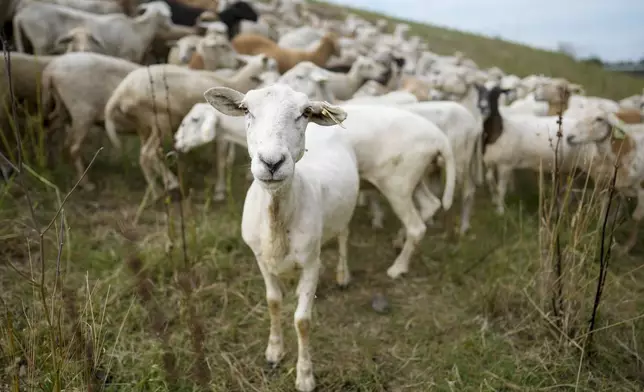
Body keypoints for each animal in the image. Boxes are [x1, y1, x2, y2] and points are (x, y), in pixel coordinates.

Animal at [204, 82, 360, 392]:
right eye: (245, 110)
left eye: (305, 112)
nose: (272, 162)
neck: (276, 218)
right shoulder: (260, 259)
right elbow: (273, 301)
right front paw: (274, 351)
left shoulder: (311, 262)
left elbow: (302, 320)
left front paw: (305, 375)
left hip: (345, 213)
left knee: (343, 236)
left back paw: (342, 274)